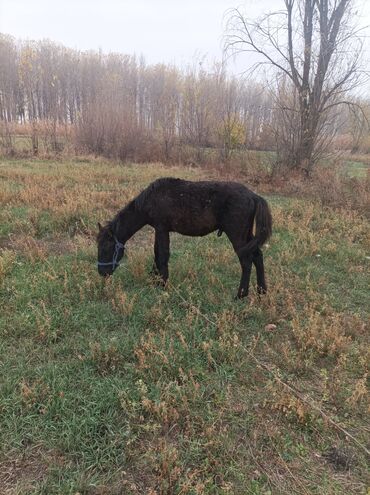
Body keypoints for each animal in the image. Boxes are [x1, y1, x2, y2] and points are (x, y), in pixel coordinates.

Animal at [97, 180, 272, 300]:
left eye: (106, 248)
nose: (102, 273)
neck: (151, 198)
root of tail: (253, 196)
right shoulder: (160, 229)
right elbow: (157, 253)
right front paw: (154, 279)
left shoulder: (162, 228)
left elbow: (162, 255)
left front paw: (162, 284)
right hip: (247, 236)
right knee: (258, 257)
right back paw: (261, 291)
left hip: (237, 236)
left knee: (246, 262)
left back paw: (241, 295)